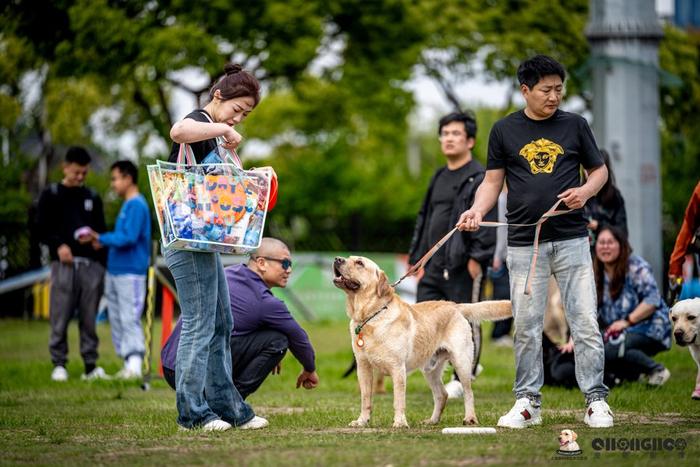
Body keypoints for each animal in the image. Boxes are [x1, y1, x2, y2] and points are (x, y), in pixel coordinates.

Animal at [330, 256, 512, 428]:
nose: (337, 259)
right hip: (430, 369)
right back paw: (433, 420)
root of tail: (455, 305)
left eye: (359, 262)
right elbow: (366, 398)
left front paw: (400, 422)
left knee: (468, 392)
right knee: (441, 394)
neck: (371, 317)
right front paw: (362, 421)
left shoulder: (398, 368)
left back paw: (470, 418)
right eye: (348, 258)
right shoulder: (363, 367)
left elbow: (398, 400)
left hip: (462, 363)